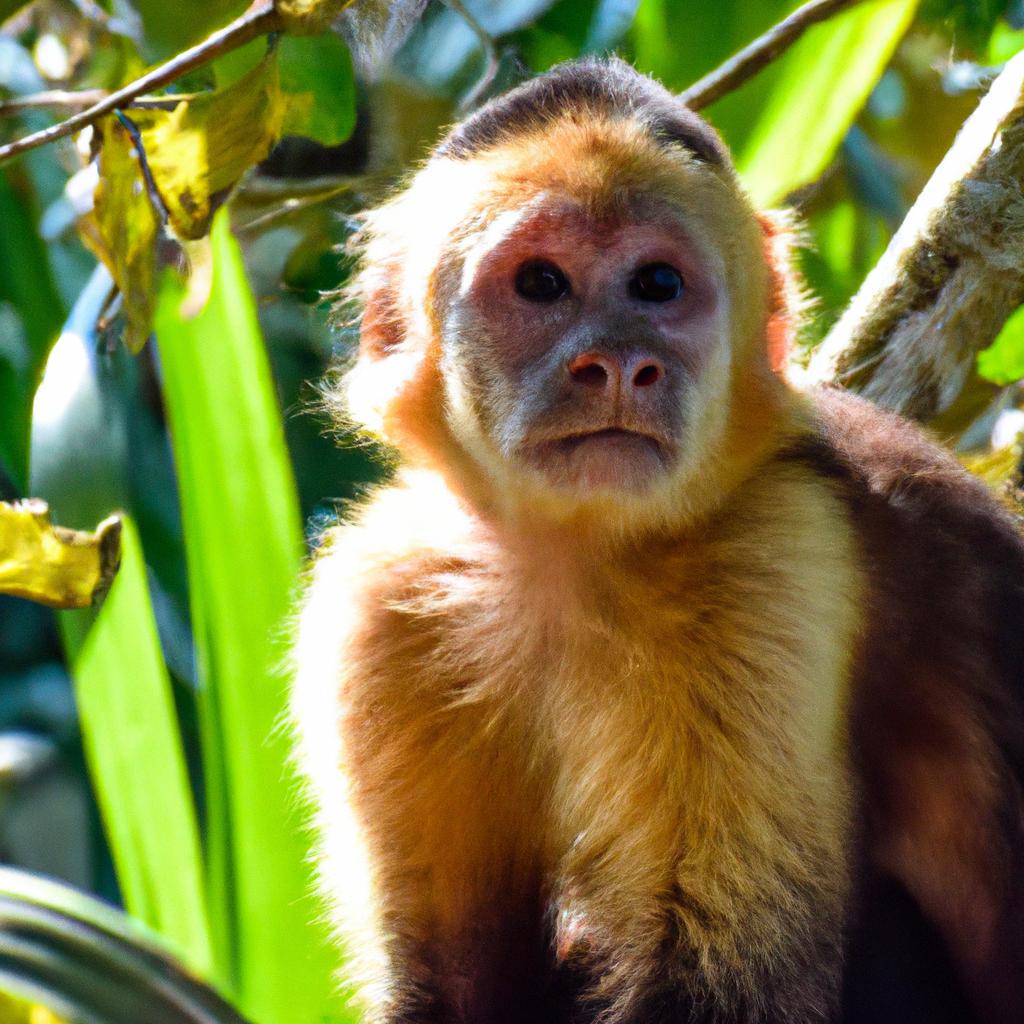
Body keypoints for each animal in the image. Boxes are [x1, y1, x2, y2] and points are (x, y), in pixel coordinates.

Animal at [290, 57, 1024, 1024]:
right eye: (541, 285)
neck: (572, 555)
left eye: (657, 287)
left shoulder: (771, 551)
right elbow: (450, 976)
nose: (618, 363)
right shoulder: (384, 599)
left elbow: (733, 978)